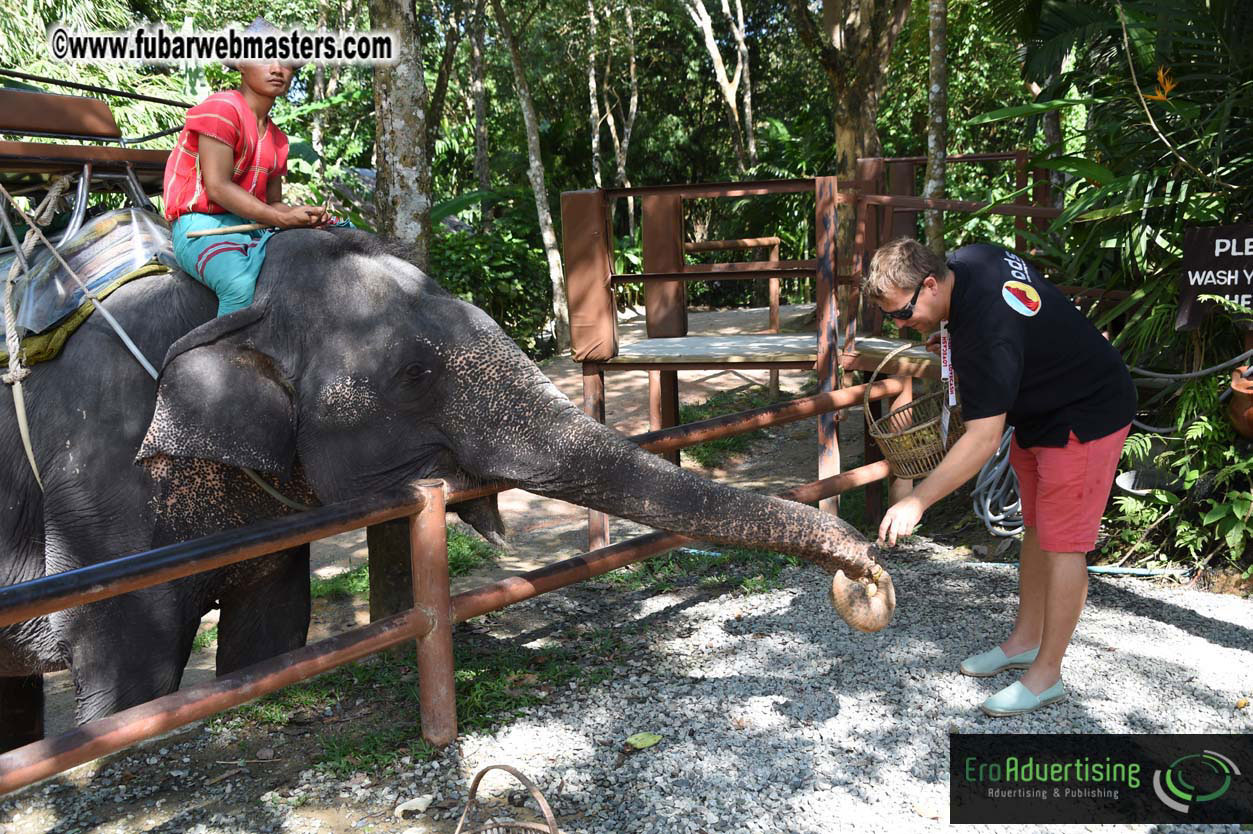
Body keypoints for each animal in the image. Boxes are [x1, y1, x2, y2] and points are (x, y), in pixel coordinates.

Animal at [0, 227, 893, 752]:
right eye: (414, 375)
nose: (868, 580)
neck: (225, 300)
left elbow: (271, 639)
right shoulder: (100, 489)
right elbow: (131, 679)